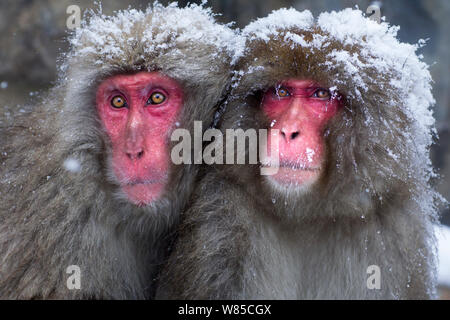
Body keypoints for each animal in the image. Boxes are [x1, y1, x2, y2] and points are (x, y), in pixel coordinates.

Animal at [158, 8, 442, 300]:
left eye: (320, 94)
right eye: (281, 92)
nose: (288, 131)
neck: (304, 215)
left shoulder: (394, 233)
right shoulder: (221, 221)